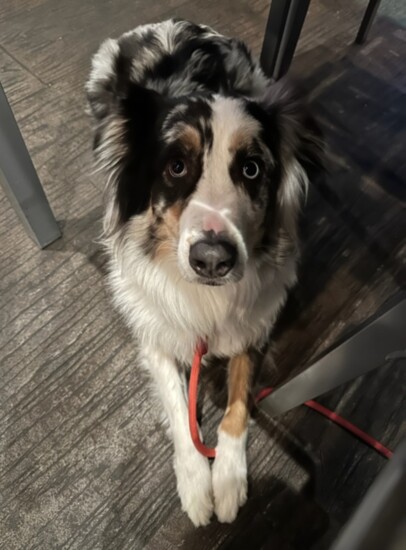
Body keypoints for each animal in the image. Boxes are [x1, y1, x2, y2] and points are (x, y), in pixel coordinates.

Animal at [87, 17, 322, 528]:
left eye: (252, 169)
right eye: (176, 166)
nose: (213, 259)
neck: (207, 300)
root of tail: (166, 23)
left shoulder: (254, 327)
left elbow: (237, 406)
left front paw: (229, 481)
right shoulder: (156, 335)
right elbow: (179, 408)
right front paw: (197, 485)